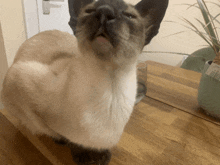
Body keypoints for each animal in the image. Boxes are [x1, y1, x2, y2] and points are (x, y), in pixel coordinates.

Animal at [1, 0, 168, 164]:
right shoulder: (18, 79)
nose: (105, 11)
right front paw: (83, 154)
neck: (110, 93)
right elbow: (60, 134)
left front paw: (100, 155)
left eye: (129, 16)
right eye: (90, 11)